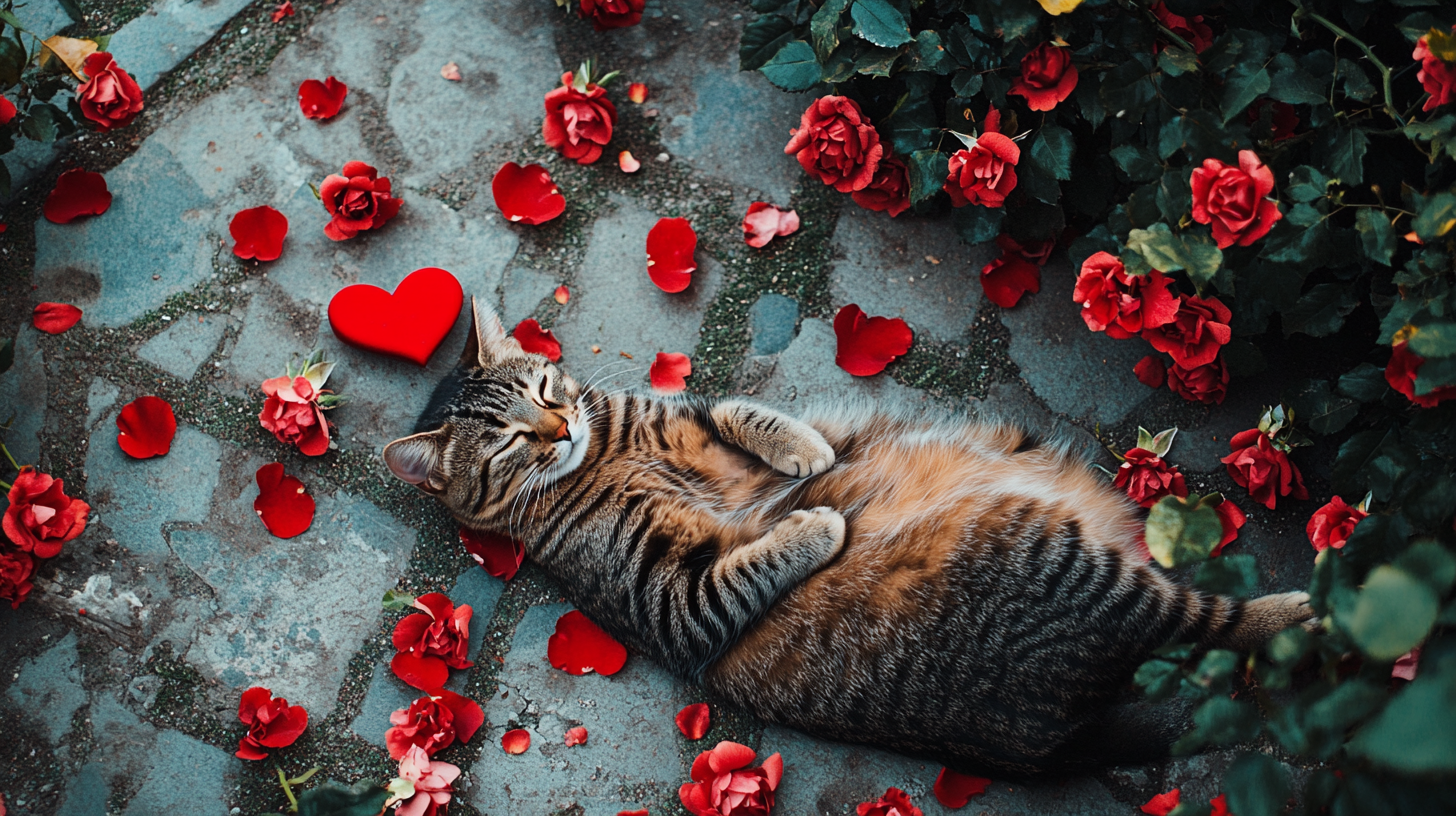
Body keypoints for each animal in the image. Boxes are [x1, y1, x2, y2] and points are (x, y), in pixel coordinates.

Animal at [384, 301, 1310, 775]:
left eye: (546, 385)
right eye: (509, 441)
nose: (559, 426)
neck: (605, 450)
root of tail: (1063, 730)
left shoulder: (683, 411)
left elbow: (734, 407)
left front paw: (803, 448)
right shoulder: (673, 600)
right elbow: (760, 554)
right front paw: (818, 516)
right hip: (1063, 560)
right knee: (1211, 621)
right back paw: (1309, 608)